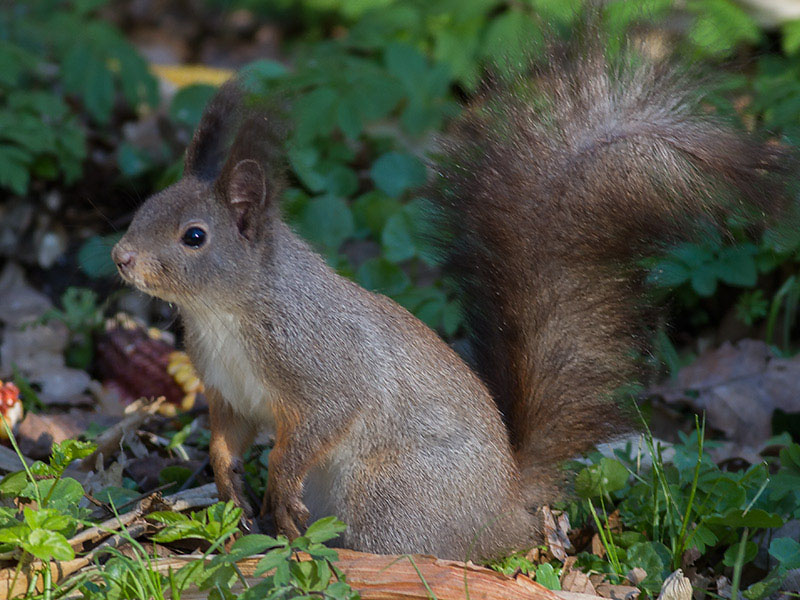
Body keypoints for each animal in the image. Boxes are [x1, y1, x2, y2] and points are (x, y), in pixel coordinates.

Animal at [112, 32, 788, 560]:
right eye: (144, 206)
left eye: (194, 236)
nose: (121, 257)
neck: (225, 311)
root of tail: (508, 508)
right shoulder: (227, 387)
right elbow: (226, 435)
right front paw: (232, 488)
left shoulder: (321, 364)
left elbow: (318, 424)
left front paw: (277, 484)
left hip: (391, 497)